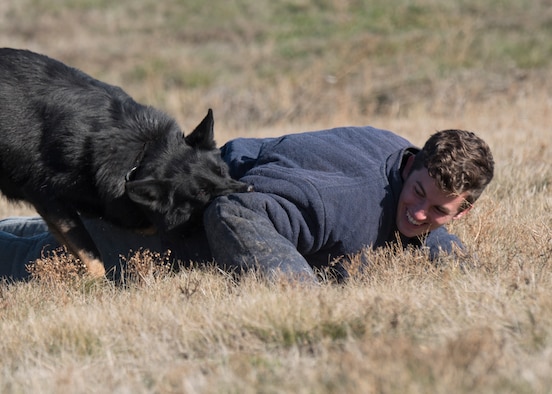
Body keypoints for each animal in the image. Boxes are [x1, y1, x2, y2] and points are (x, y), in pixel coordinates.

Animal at [0, 48, 250, 278]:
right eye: (201, 192)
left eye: (222, 170)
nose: (248, 189)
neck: (143, 152)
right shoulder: (48, 198)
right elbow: (90, 254)